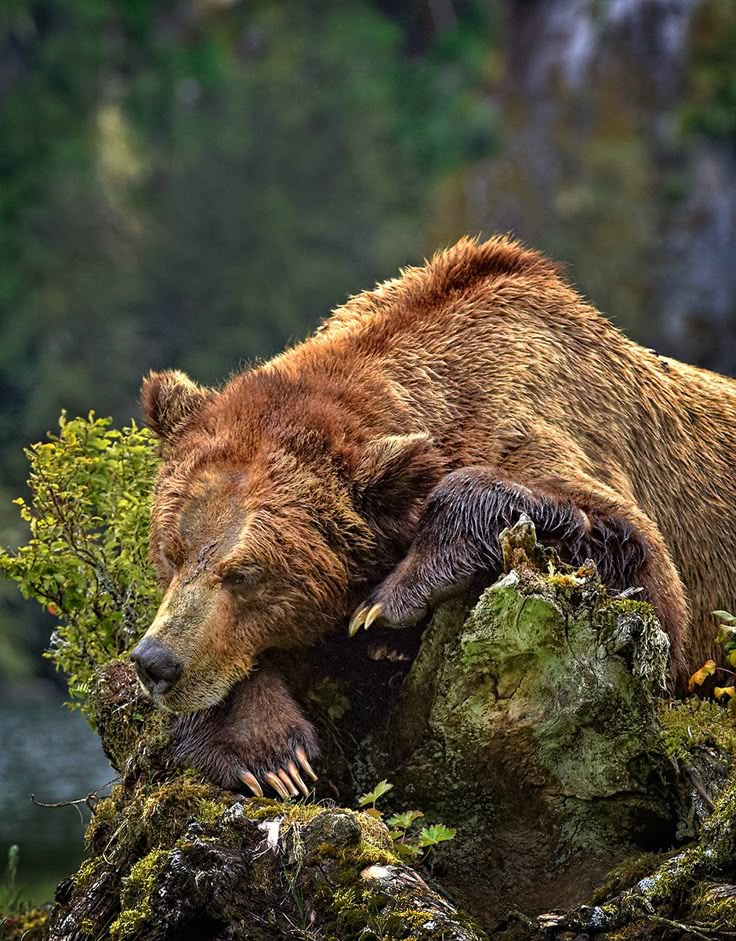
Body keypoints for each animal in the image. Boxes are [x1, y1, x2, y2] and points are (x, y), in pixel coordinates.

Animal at [131, 233, 736, 792]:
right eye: (171, 553)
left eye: (245, 573)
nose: (155, 663)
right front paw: (270, 754)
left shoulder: (552, 425)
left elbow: (639, 563)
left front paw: (386, 606)